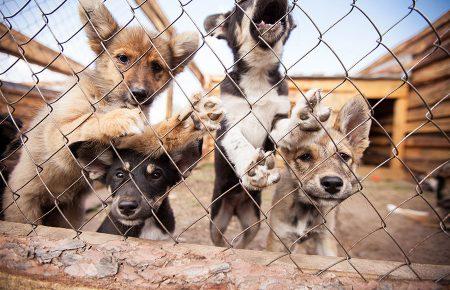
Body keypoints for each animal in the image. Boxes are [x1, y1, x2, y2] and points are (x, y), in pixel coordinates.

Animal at [205, 0, 330, 249]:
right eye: (239, 4)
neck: (258, 73)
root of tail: (235, 203)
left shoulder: (275, 122)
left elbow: (286, 126)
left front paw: (304, 116)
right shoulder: (227, 124)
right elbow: (238, 142)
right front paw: (251, 166)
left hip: (253, 219)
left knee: (244, 240)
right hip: (217, 219)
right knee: (219, 240)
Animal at [268, 96, 370, 255]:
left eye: (343, 156)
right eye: (305, 157)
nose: (333, 183)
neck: (307, 209)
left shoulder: (326, 239)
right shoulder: (279, 238)